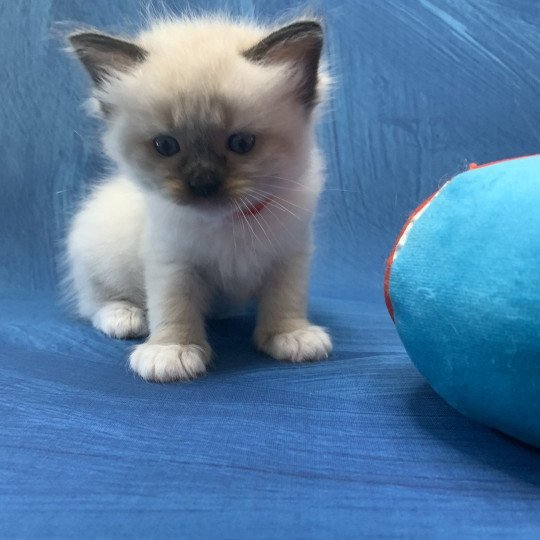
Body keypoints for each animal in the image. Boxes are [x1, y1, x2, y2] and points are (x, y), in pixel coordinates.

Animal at [66, 15, 332, 380]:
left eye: (242, 143)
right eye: (165, 146)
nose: (202, 182)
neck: (231, 222)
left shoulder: (289, 257)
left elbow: (286, 300)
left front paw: (290, 336)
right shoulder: (173, 263)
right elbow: (174, 307)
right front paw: (172, 351)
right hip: (98, 257)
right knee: (94, 302)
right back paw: (125, 317)